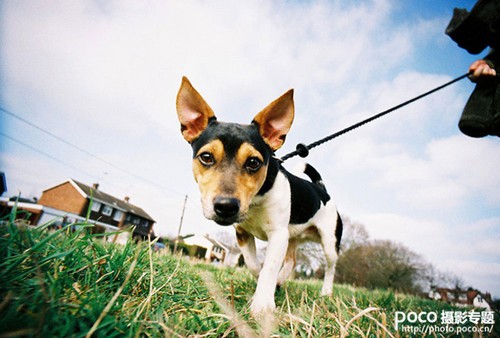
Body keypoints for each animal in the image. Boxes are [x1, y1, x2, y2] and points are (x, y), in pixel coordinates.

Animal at [174, 76, 342, 314]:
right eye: (206, 157)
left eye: (254, 162)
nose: (226, 206)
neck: (256, 200)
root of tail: (321, 189)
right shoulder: (243, 233)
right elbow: (254, 265)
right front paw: (264, 282)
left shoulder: (278, 235)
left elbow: (269, 268)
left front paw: (262, 305)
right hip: (293, 238)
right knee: (291, 261)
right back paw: (281, 281)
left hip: (329, 243)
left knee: (330, 268)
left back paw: (326, 292)